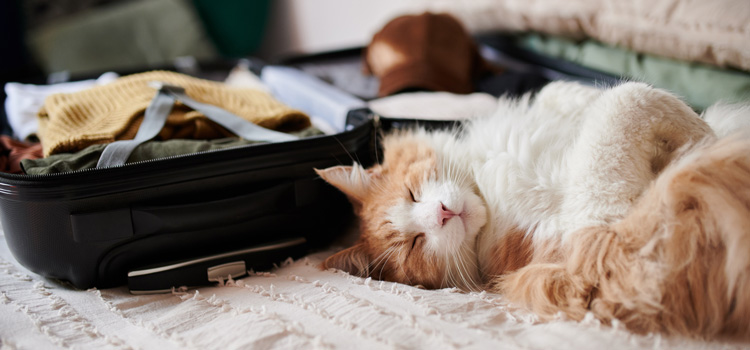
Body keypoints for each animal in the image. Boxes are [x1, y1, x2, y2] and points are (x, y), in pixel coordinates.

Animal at [316, 80, 750, 338]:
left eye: (411, 193)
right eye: (414, 244)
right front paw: (708, 139)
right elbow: (625, 102)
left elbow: (568, 92)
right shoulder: (605, 248)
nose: (442, 213)